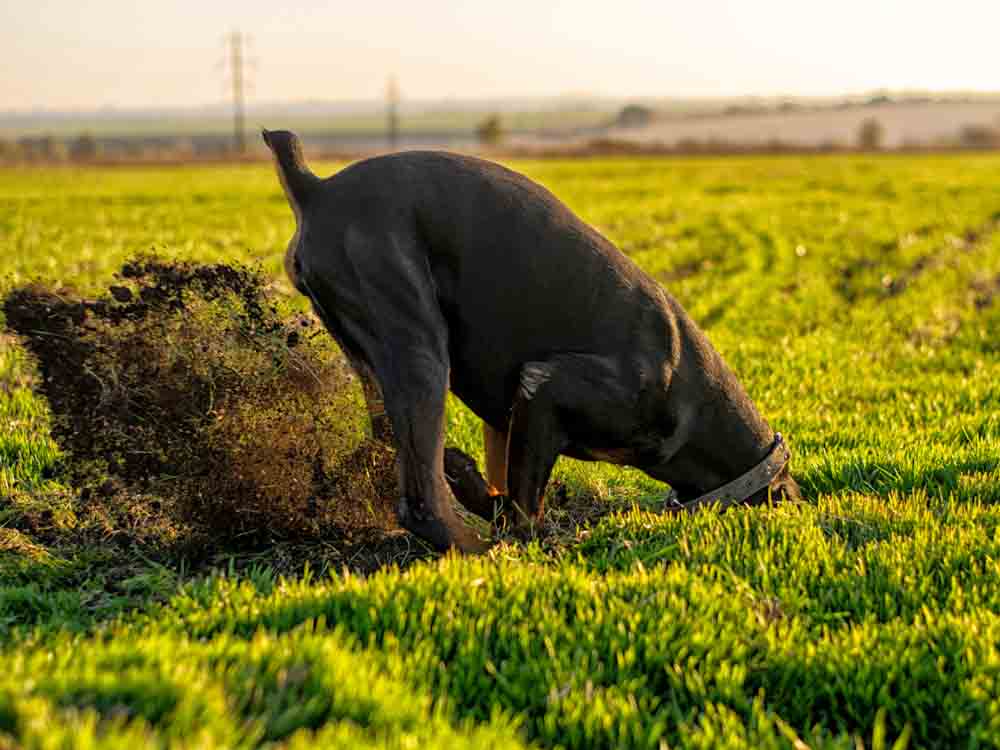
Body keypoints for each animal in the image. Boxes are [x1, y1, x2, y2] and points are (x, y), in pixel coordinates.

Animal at [264, 131, 796, 552]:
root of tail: (316, 190)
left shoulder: (508, 416)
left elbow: (504, 482)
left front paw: (475, 483)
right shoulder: (544, 387)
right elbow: (523, 507)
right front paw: (528, 537)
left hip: (372, 355)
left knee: (391, 444)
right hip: (418, 347)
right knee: (421, 501)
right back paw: (474, 549)